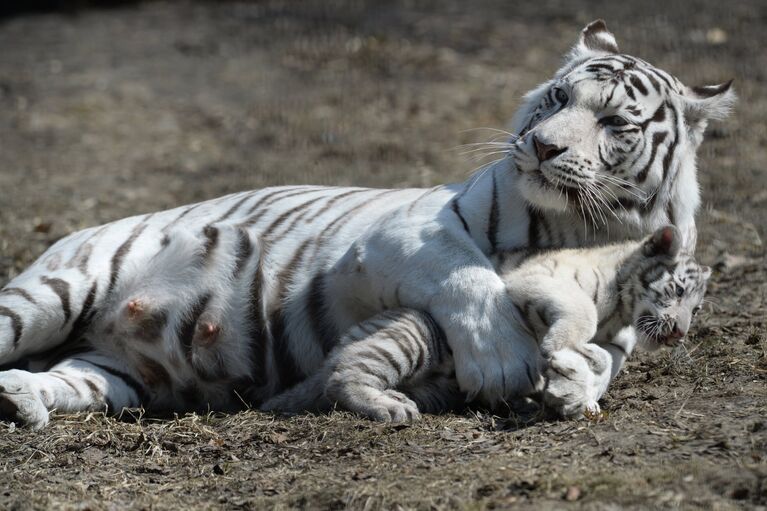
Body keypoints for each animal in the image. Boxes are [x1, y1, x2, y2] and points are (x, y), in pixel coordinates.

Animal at [0, 20, 736, 428]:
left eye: (612, 123)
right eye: (558, 97)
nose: (543, 146)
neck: (575, 226)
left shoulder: (622, 328)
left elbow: (602, 357)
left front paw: (572, 384)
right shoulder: (400, 233)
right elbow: (469, 276)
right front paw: (503, 360)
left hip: (118, 373)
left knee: (68, 378)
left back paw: (21, 399)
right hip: (53, 293)